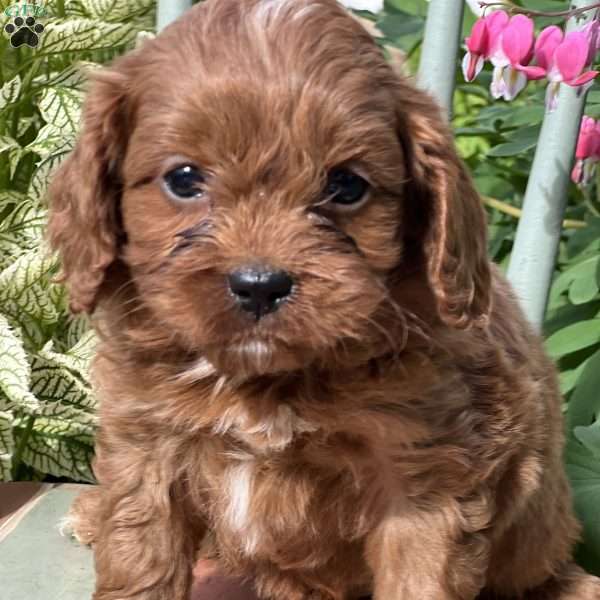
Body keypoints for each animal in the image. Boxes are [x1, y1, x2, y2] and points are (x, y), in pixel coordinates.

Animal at [48, 1, 600, 600]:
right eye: (184, 178)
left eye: (347, 186)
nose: (259, 284)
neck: (262, 383)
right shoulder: (147, 445)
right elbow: (141, 559)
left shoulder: (425, 473)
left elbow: (419, 575)